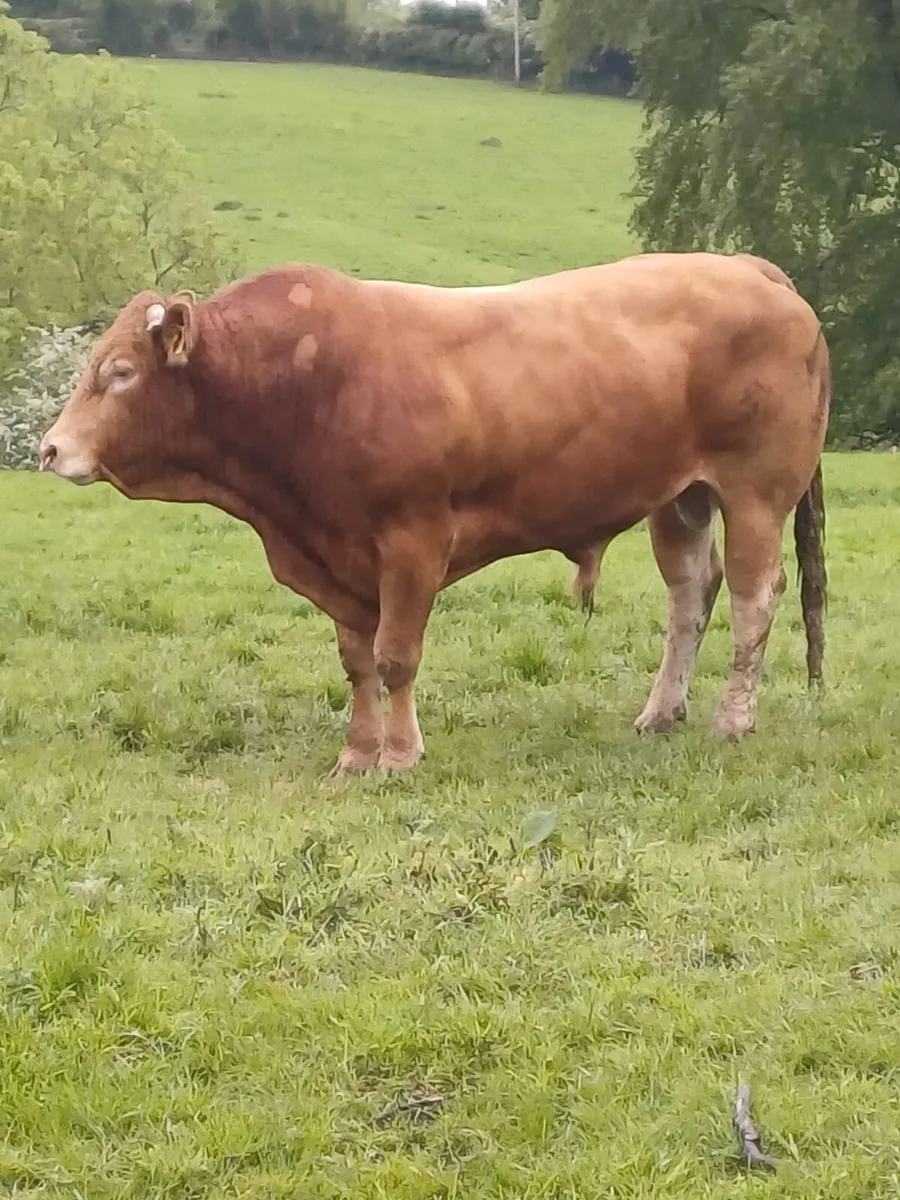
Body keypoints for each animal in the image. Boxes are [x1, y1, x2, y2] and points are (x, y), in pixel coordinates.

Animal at [38, 251, 829, 775]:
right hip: (680, 500)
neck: (304, 384)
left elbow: (395, 657)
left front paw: (398, 754)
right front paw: (358, 753)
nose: (48, 450)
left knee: (756, 599)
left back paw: (733, 719)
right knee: (691, 597)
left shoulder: (412, 540)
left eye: (119, 373)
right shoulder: (337, 558)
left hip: (756, 493)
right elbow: (357, 660)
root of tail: (750, 266)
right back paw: (661, 713)